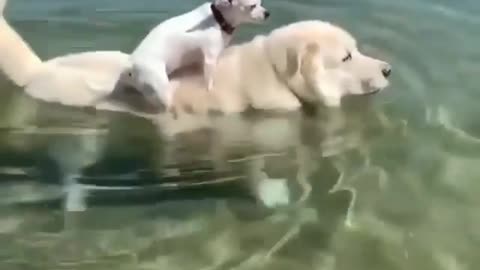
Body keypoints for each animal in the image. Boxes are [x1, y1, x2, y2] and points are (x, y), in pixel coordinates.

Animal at [120, 0, 270, 109]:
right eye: (252, 6)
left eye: (261, 2)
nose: (267, 13)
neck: (218, 17)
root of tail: (130, 65)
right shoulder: (210, 58)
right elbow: (209, 82)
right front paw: (210, 91)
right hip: (159, 87)